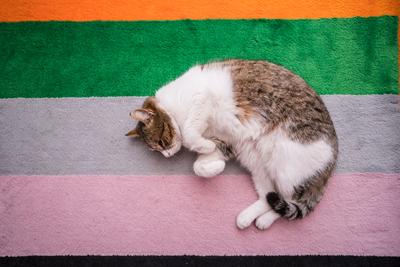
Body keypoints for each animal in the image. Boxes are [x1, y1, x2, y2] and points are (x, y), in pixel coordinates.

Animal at [126, 60, 338, 230]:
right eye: (157, 150)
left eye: (162, 142)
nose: (168, 156)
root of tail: (333, 156)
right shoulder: (226, 143)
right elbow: (198, 166)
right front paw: (215, 165)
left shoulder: (202, 99)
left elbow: (188, 134)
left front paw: (202, 147)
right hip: (256, 162)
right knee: (269, 196)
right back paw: (247, 219)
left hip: (286, 164)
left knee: (288, 197)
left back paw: (265, 220)